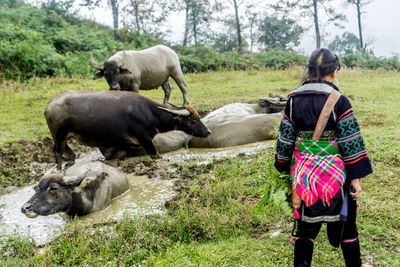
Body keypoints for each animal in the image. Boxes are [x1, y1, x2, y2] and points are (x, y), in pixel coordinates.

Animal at [45, 91, 211, 169]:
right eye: (193, 119)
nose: (208, 131)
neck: (149, 113)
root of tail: (49, 105)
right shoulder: (145, 139)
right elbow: (156, 155)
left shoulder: (123, 143)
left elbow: (120, 157)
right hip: (59, 134)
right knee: (57, 151)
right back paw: (59, 168)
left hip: (64, 136)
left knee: (65, 149)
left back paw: (72, 160)